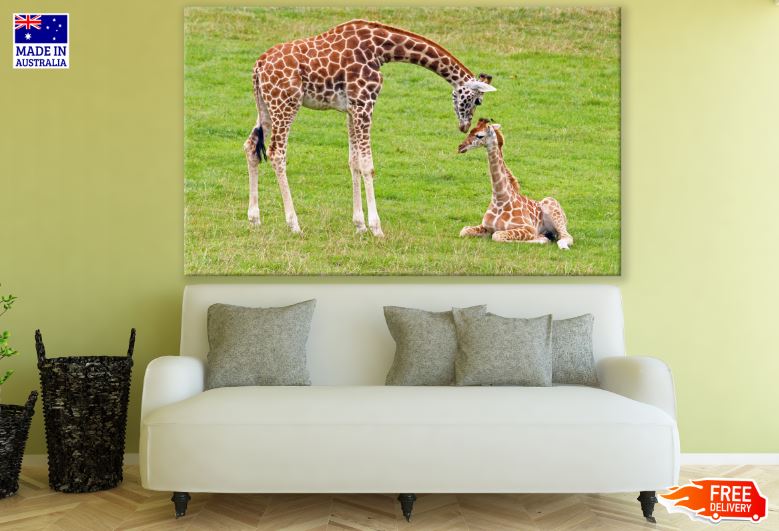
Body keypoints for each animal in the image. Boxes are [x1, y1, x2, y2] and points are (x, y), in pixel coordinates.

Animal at [242, 19, 496, 237]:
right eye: (477, 101)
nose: (464, 126)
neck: (381, 50)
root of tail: (258, 66)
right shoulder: (365, 103)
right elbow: (367, 165)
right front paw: (376, 227)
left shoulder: (351, 109)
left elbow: (353, 162)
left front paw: (360, 225)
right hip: (286, 104)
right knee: (277, 153)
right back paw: (294, 224)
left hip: (265, 106)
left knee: (251, 146)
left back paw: (254, 219)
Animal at [457, 119, 574, 249]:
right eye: (470, 131)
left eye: (479, 135)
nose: (460, 146)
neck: (500, 198)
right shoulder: (485, 226)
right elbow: (464, 230)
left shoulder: (529, 229)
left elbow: (497, 235)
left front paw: (541, 239)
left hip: (552, 208)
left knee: (566, 237)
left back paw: (561, 245)